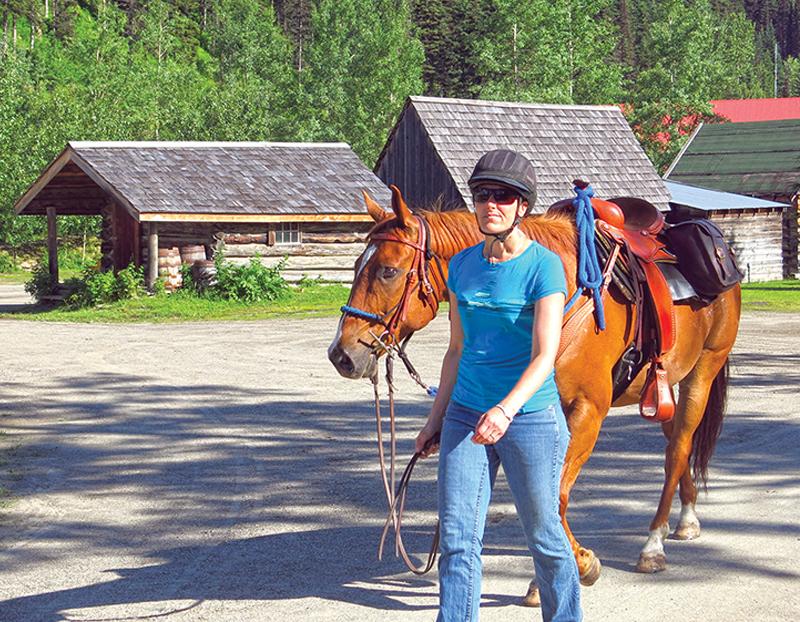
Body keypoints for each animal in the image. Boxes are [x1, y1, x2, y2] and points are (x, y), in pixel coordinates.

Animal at [328, 186, 741, 595]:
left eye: (388, 271)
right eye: (356, 265)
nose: (340, 355)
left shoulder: (588, 411)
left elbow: (554, 496)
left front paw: (576, 567)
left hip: (703, 371)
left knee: (678, 450)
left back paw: (654, 544)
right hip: (663, 387)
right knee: (677, 442)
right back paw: (686, 517)